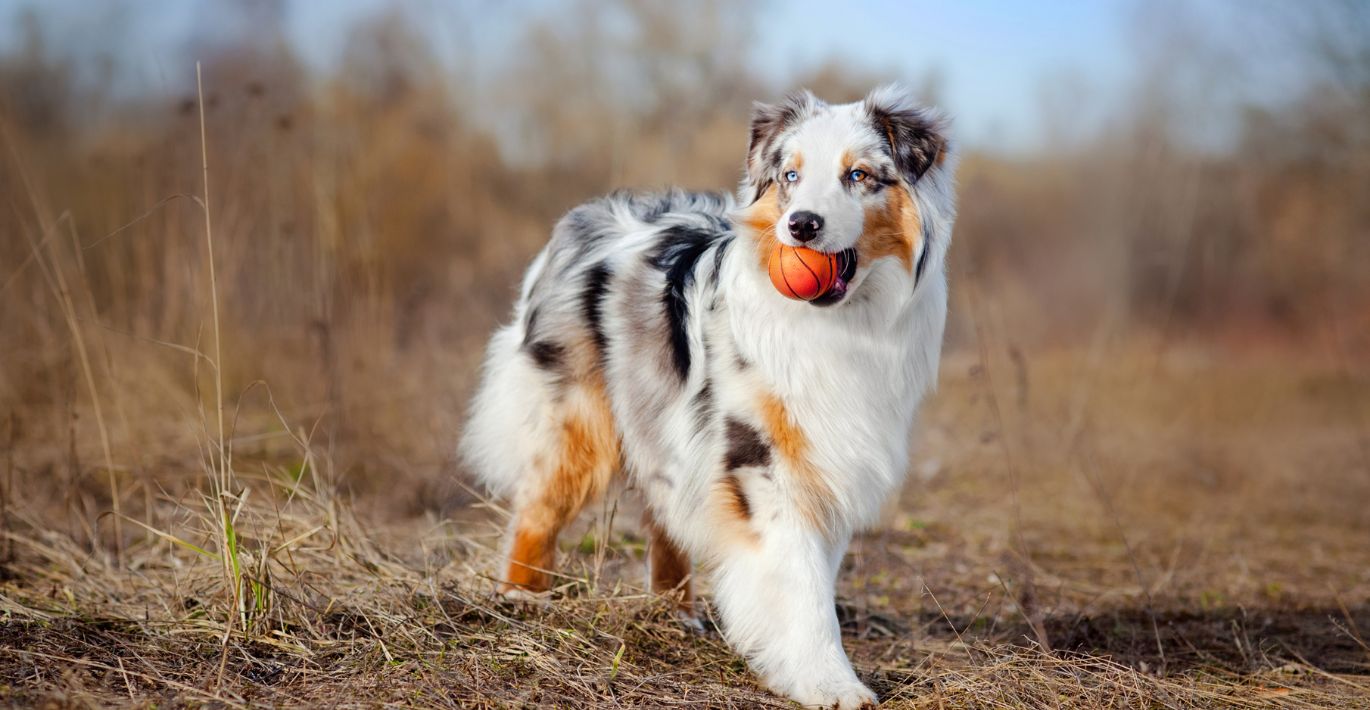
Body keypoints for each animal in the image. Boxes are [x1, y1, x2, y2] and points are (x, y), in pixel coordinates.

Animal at [460, 86, 953, 707]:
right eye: (791, 176)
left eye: (859, 175)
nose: (801, 225)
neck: (840, 324)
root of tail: (583, 218)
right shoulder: (760, 461)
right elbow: (802, 584)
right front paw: (830, 682)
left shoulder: (828, 458)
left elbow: (813, 572)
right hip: (578, 419)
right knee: (539, 507)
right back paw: (522, 597)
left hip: (663, 423)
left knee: (663, 513)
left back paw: (676, 613)